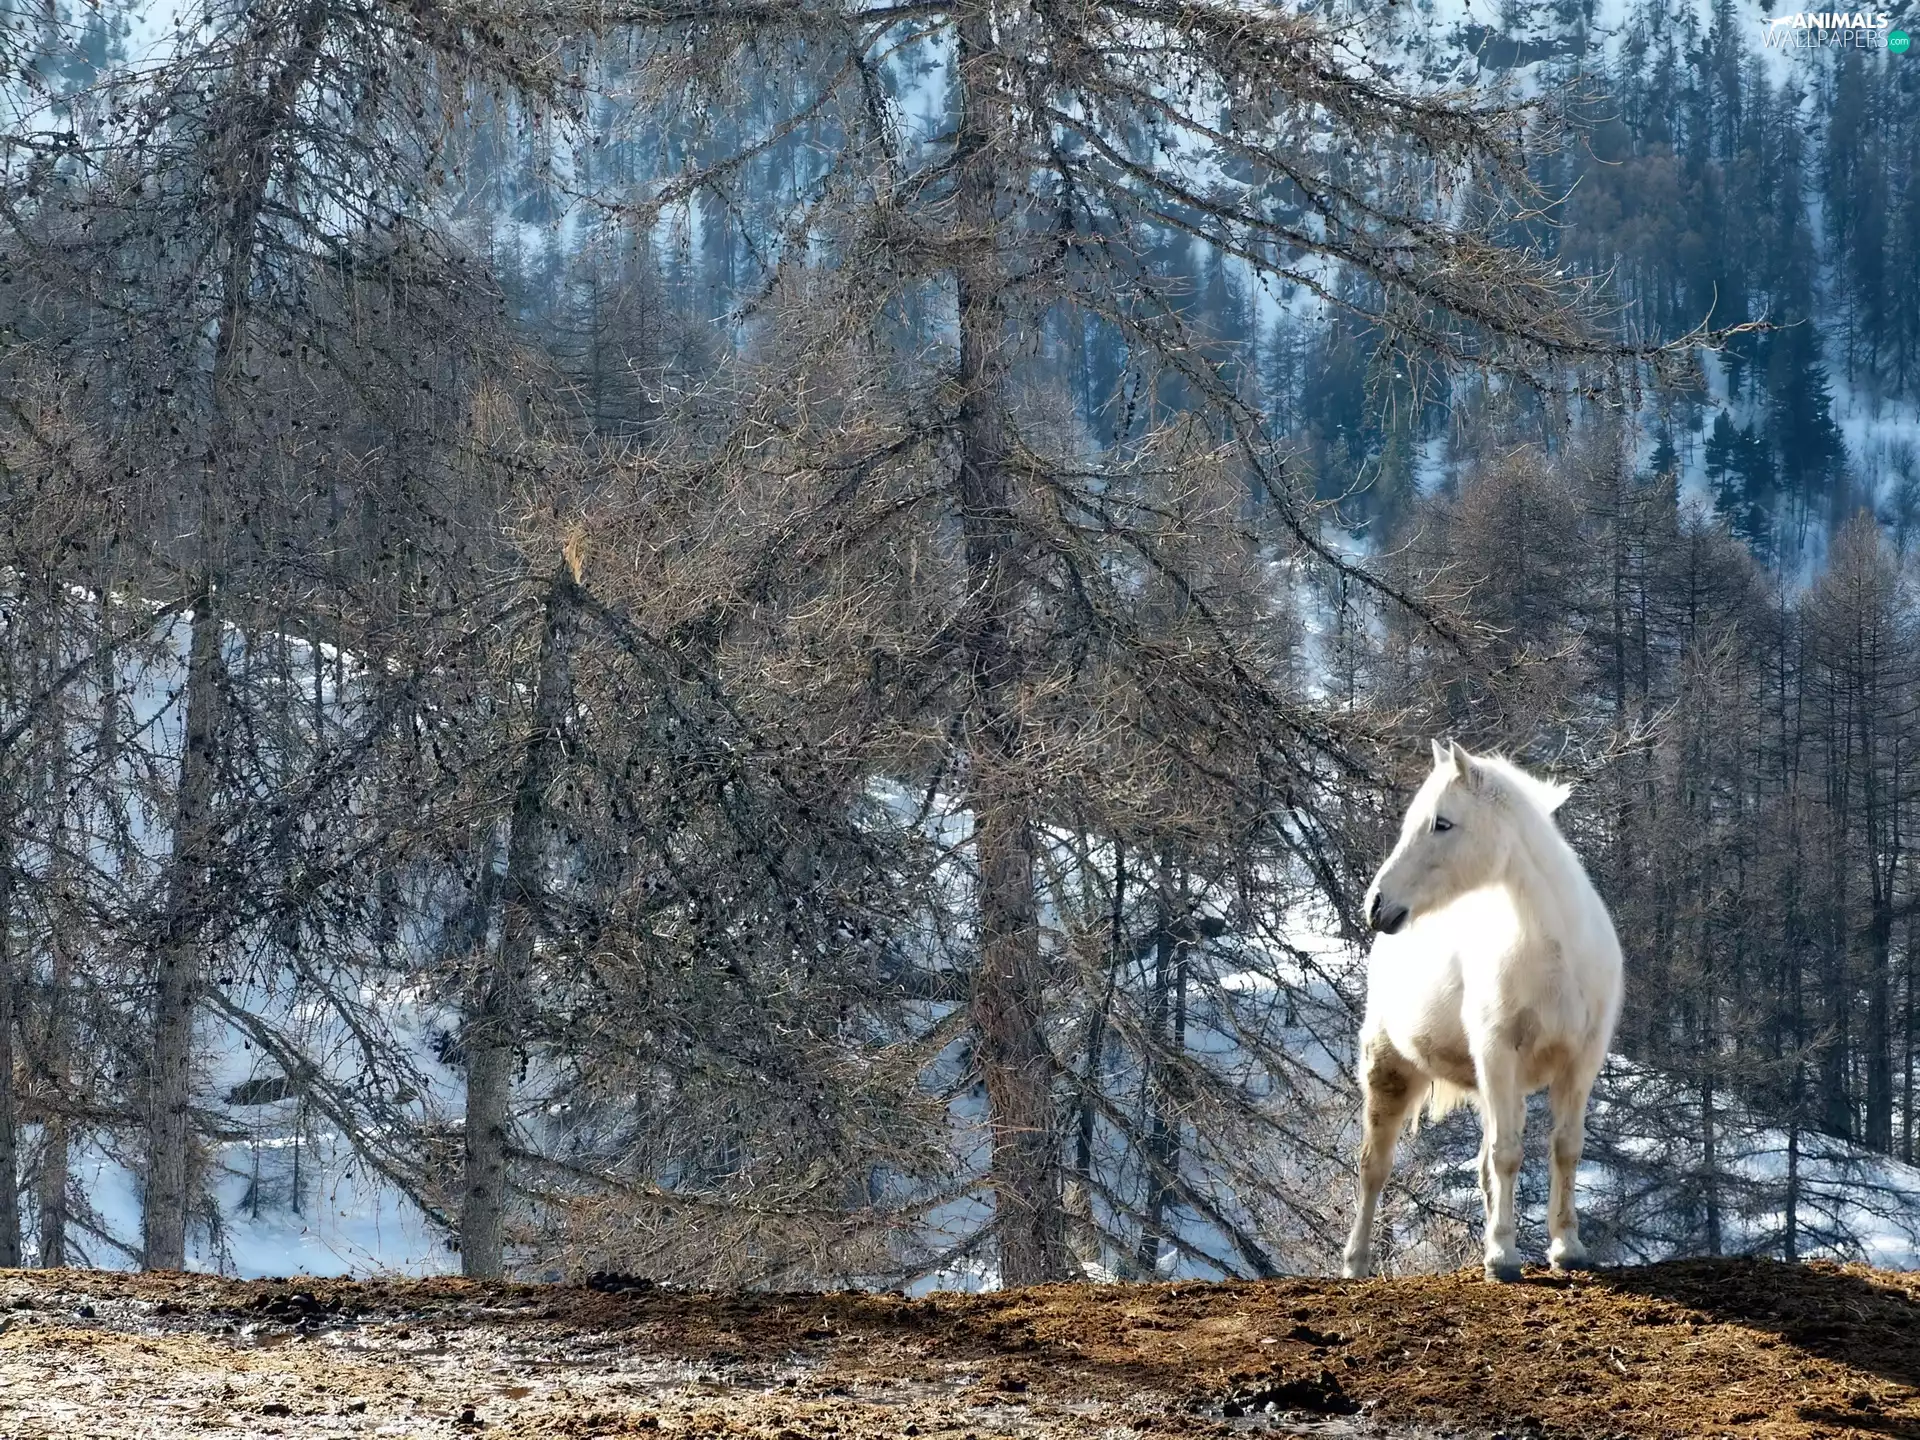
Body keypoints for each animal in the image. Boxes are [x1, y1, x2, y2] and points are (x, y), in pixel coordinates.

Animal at [1341, 740, 1622, 1283]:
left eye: (1442, 823)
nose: (1376, 905)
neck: (1553, 950)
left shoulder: (1580, 1062)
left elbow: (1565, 1148)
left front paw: (1566, 1248)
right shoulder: (1498, 1053)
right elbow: (1508, 1156)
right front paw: (1503, 1259)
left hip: (1494, 1086)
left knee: (1484, 1165)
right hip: (1392, 1069)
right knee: (1373, 1166)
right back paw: (1355, 1264)